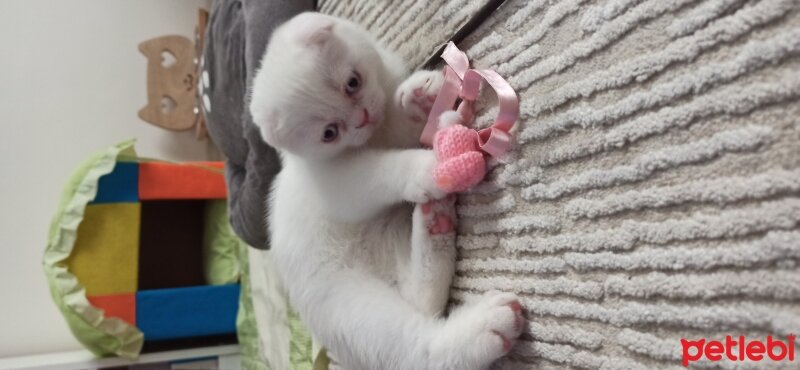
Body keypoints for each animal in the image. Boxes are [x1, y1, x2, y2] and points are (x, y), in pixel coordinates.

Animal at [250, 12, 524, 370]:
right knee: (417, 349)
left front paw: (418, 98)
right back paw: (485, 327)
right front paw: (427, 170)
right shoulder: (337, 184)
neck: (373, 138)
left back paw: (435, 225)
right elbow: (379, 171)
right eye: (329, 133)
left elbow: (399, 117)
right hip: (354, 308)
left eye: (352, 83)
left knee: (422, 301)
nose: (362, 117)